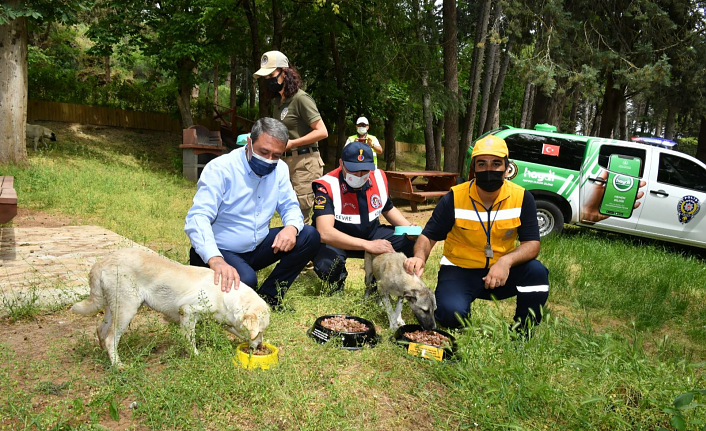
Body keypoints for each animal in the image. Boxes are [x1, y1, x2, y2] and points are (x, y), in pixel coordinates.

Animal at [71, 250, 270, 368]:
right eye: (260, 331)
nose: (260, 347)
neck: (224, 294)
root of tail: (102, 262)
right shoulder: (188, 312)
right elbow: (190, 340)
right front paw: (196, 355)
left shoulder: (224, 320)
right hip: (127, 309)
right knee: (110, 338)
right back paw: (118, 364)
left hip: (113, 308)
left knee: (101, 331)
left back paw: (104, 353)